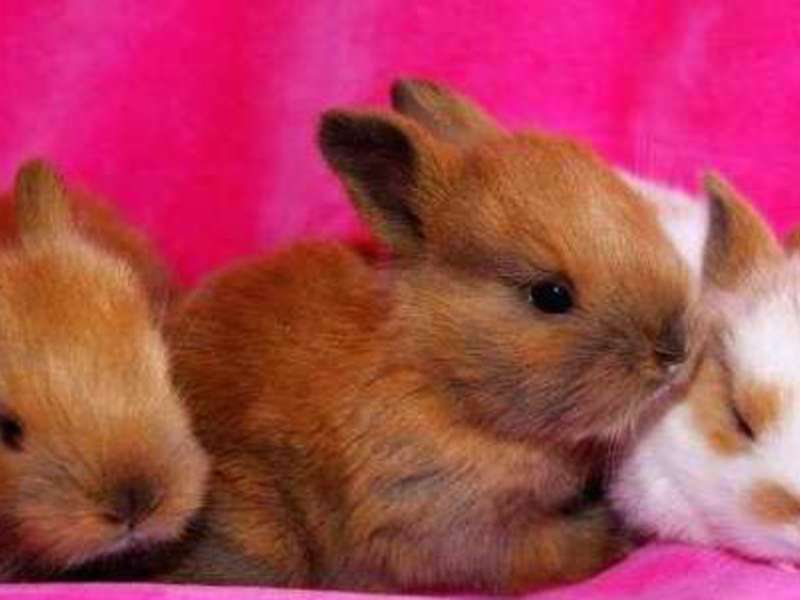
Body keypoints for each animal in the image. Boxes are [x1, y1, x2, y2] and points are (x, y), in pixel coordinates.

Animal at [159, 79, 699, 593]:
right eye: (550, 295)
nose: (674, 349)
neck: (441, 378)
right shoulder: (452, 525)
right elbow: (546, 552)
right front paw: (617, 535)